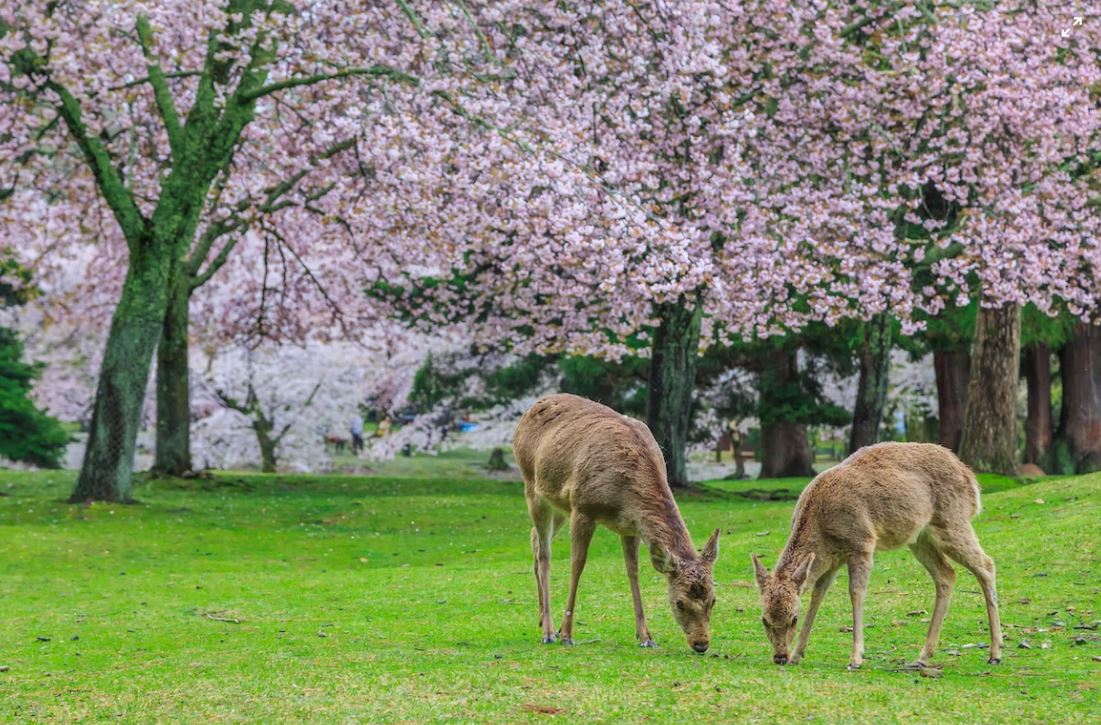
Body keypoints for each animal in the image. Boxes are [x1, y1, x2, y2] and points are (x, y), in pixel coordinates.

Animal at [515, 392, 722, 652]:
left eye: (713, 600)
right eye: (680, 602)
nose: (701, 643)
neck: (624, 498)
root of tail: (531, 408)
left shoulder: (630, 527)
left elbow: (633, 571)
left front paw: (645, 636)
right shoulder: (583, 508)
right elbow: (577, 565)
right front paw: (567, 633)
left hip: (559, 504)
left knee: (534, 538)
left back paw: (542, 618)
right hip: (532, 486)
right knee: (545, 554)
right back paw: (549, 631)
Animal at [753, 438, 1004, 669]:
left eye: (793, 618)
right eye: (764, 619)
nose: (780, 657)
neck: (822, 529)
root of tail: (971, 480)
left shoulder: (862, 543)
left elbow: (856, 592)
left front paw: (856, 658)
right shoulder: (831, 559)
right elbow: (818, 595)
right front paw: (798, 654)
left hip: (952, 520)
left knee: (987, 564)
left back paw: (995, 653)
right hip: (919, 538)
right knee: (947, 575)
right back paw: (922, 657)